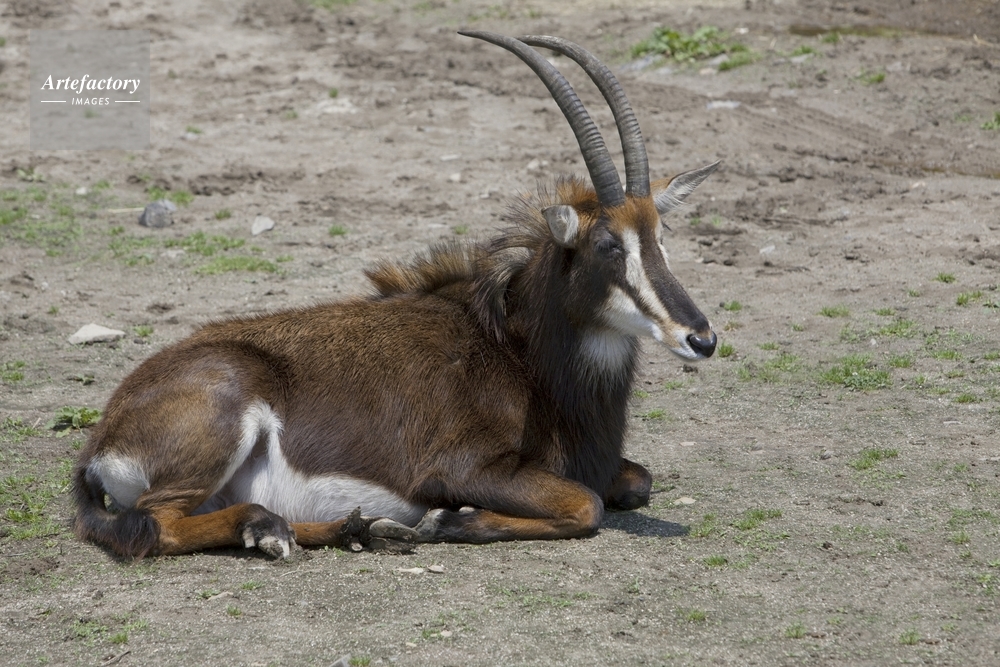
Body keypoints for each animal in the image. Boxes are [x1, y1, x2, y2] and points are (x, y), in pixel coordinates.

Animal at [73, 31, 719, 559]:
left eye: (659, 237)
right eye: (608, 245)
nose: (702, 338)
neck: (517, 351)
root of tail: (99, 443)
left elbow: (636, 482)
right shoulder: (461, 467)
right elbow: (586, 504)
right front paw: (448, 522)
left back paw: (352, 529)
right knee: (158, 525)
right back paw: (277, 528)